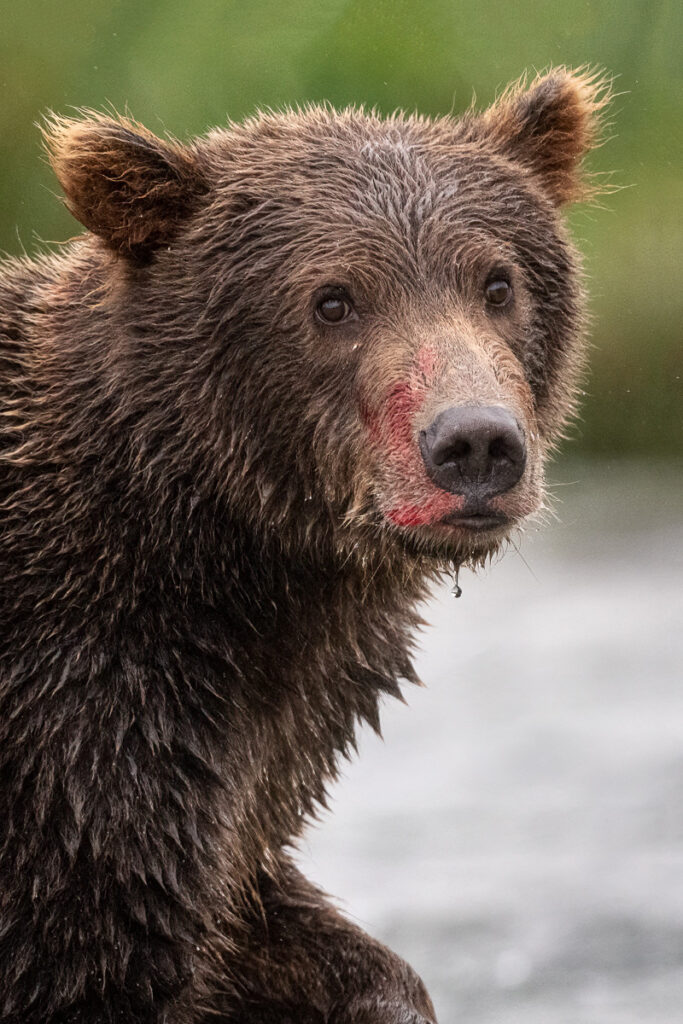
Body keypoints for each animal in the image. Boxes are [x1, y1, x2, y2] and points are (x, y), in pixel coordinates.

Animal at [0, 67, 609, 1023]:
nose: (475, 443)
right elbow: (102, 948)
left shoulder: (259, 749)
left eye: (496, 282)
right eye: (332, 299)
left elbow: (275, 927)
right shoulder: (80, 729)